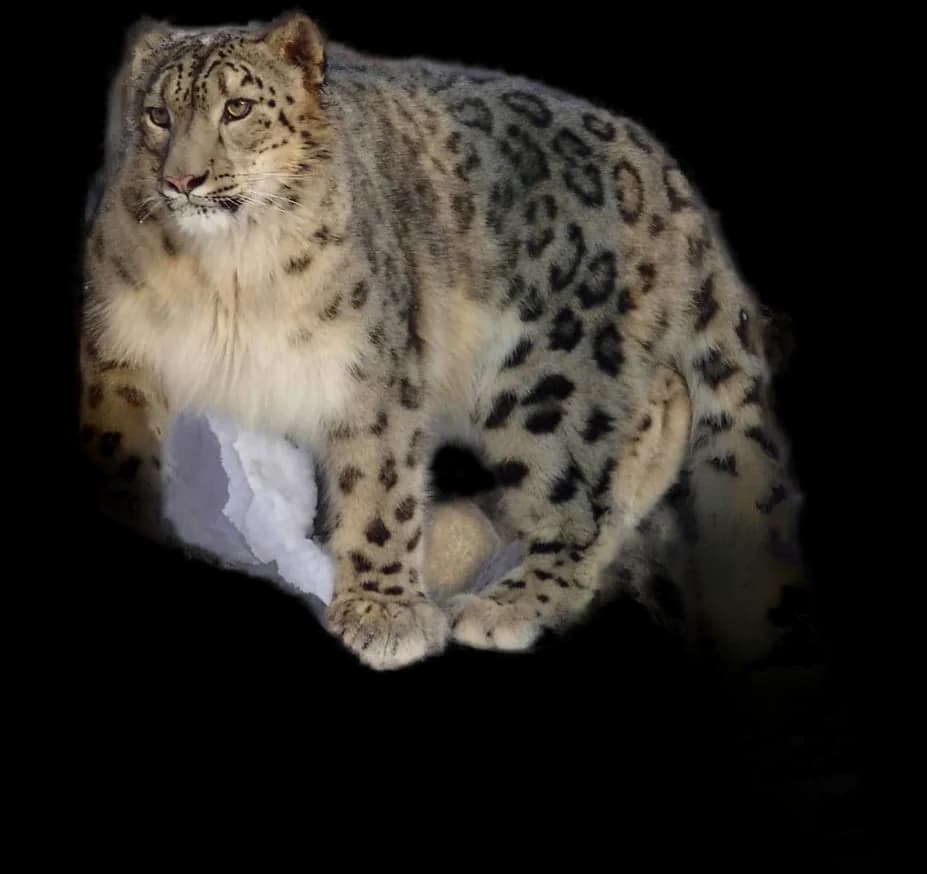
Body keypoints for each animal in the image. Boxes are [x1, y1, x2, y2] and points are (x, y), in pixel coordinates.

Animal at [78, 10, 814, 674]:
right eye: (157, 114)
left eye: (237, 107)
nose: (183, 181)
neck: (226, 278)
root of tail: (664, 173)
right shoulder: (119, 351)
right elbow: (120, 449)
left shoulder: (370, 370)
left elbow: (379, 488)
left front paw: (384, 616)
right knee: (662, 405)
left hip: (550, 384)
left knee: (589, 483)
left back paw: (505, 606)